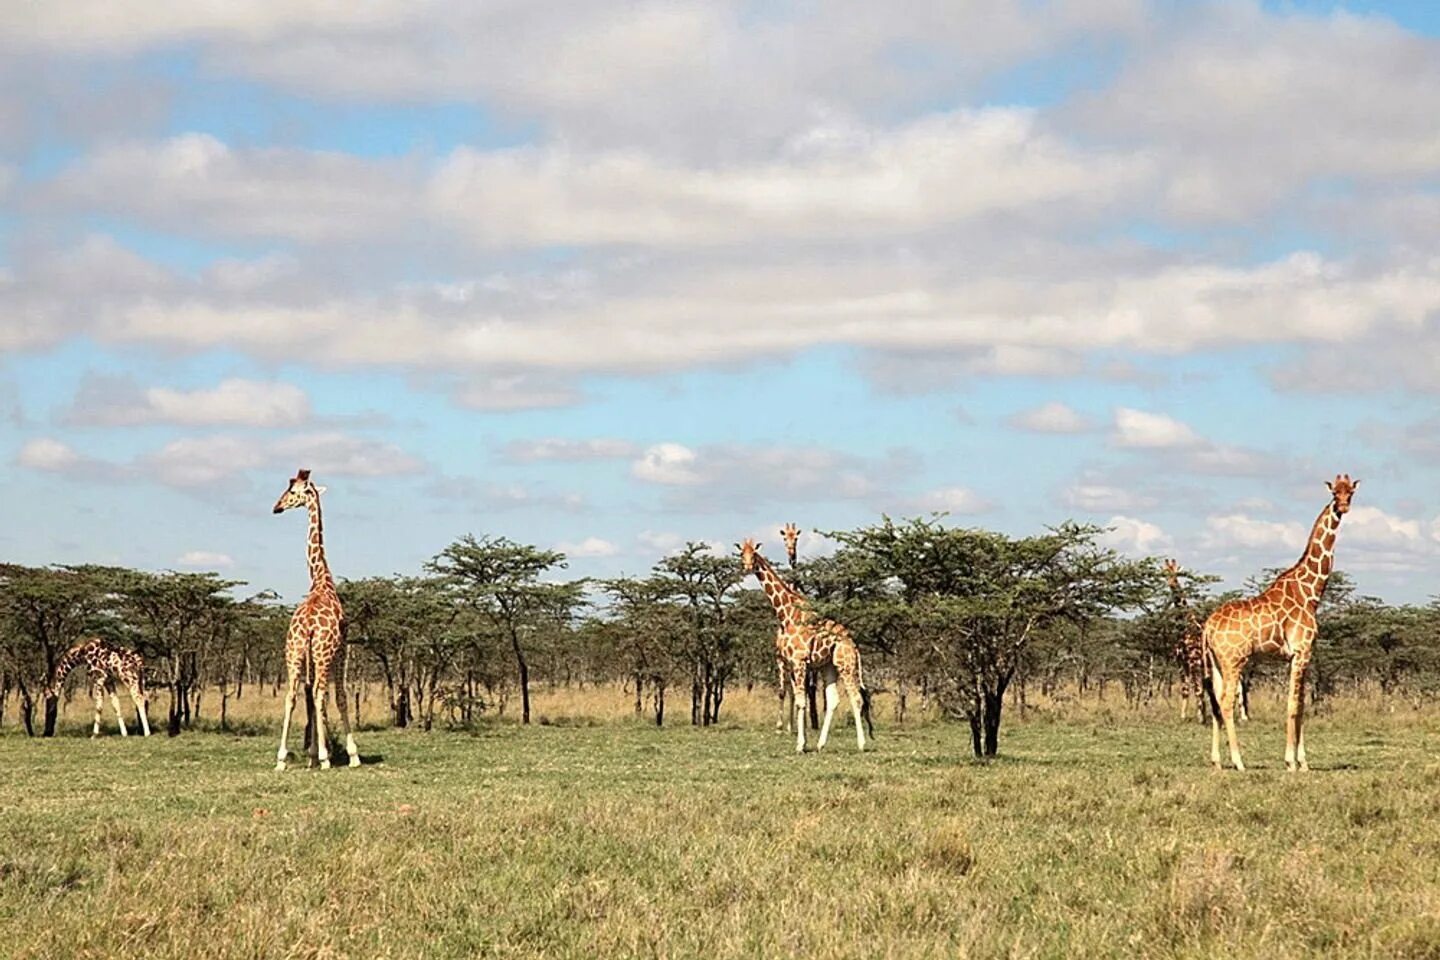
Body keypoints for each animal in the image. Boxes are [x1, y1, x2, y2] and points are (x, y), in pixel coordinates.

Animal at [270, 466, 358, 771]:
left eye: (292, 491)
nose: (276, 507)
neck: (321, 580)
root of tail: (307, 625)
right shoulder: (342, 647)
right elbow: (340, 696)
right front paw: (350, 754)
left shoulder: (309, 654)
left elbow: (307, 694)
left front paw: (310, 754)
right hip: (322, 652)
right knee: (321, 693)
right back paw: (325, 757)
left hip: (293, 651)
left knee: (291, 695)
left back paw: (282, 759)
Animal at [743, 538, 864, 754]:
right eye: (742, 553)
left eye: (754, 554)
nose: (747, 566)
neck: (786, 615)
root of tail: (853, 645)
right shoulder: (791, 663)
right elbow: (801, 700)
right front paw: (804, 742)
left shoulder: (799, 662)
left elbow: (800, 701)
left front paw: (800, 745)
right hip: (829, 667)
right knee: (833, 700)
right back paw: (821, 744)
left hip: (846, 666)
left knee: (856, 698)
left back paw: (862, 744)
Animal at [1203, 474, 1359, 771]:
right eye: (1335, 493)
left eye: (1351, 493)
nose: (1343, 507)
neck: (1311, 591)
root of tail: (1207, 627)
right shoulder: (1301, 651)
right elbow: (1292, 705)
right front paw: (1291, 762)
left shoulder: (1301, 655)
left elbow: (1301, 705)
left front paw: (1303, 762)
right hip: (1233, 660)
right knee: (1226, 702)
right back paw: (1239, 762)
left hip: (1215, 662)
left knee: (1215, 703)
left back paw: (1217, 762)